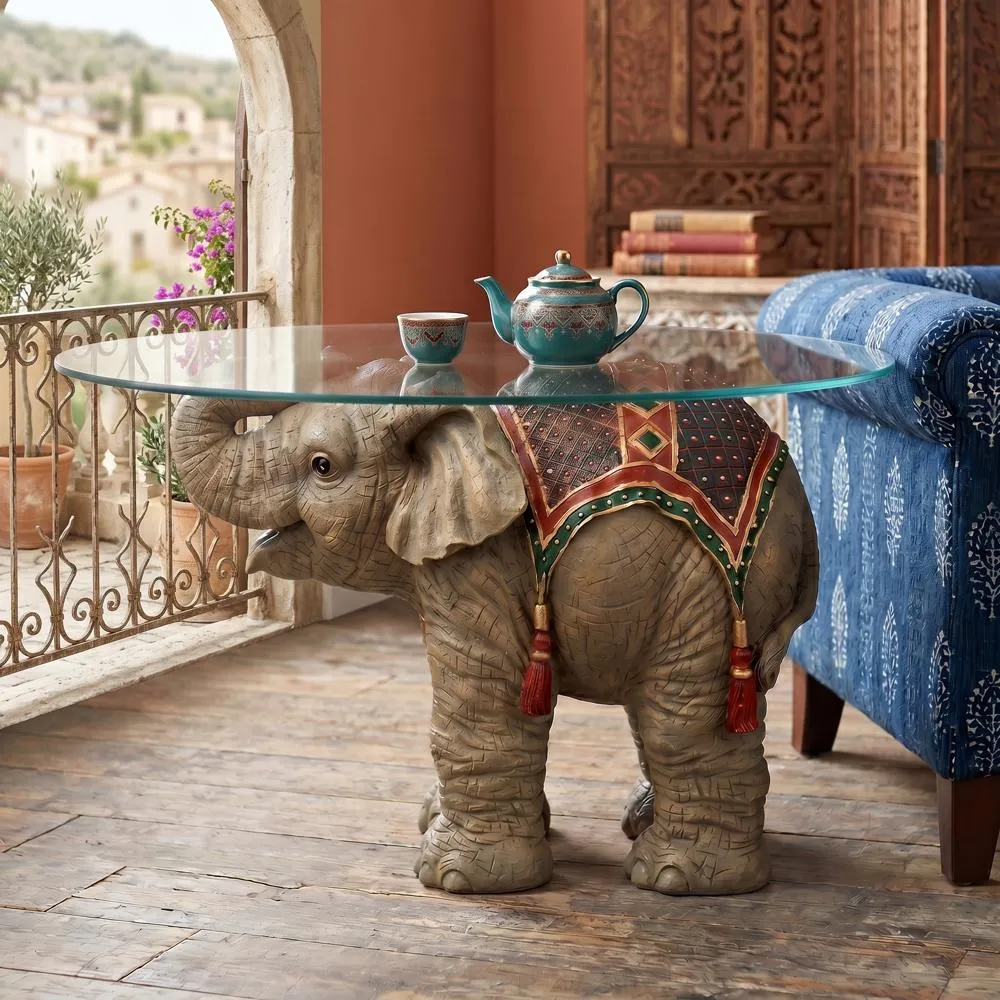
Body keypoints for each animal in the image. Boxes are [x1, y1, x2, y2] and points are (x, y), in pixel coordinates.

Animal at [172, 395, 818, 896]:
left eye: (323, 466)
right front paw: (434, 821)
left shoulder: (479, 563)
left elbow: (480, 704)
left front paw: (452, 880)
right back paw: (644, 825)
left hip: (711, 589)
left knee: (681, 722)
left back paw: (678, 879)